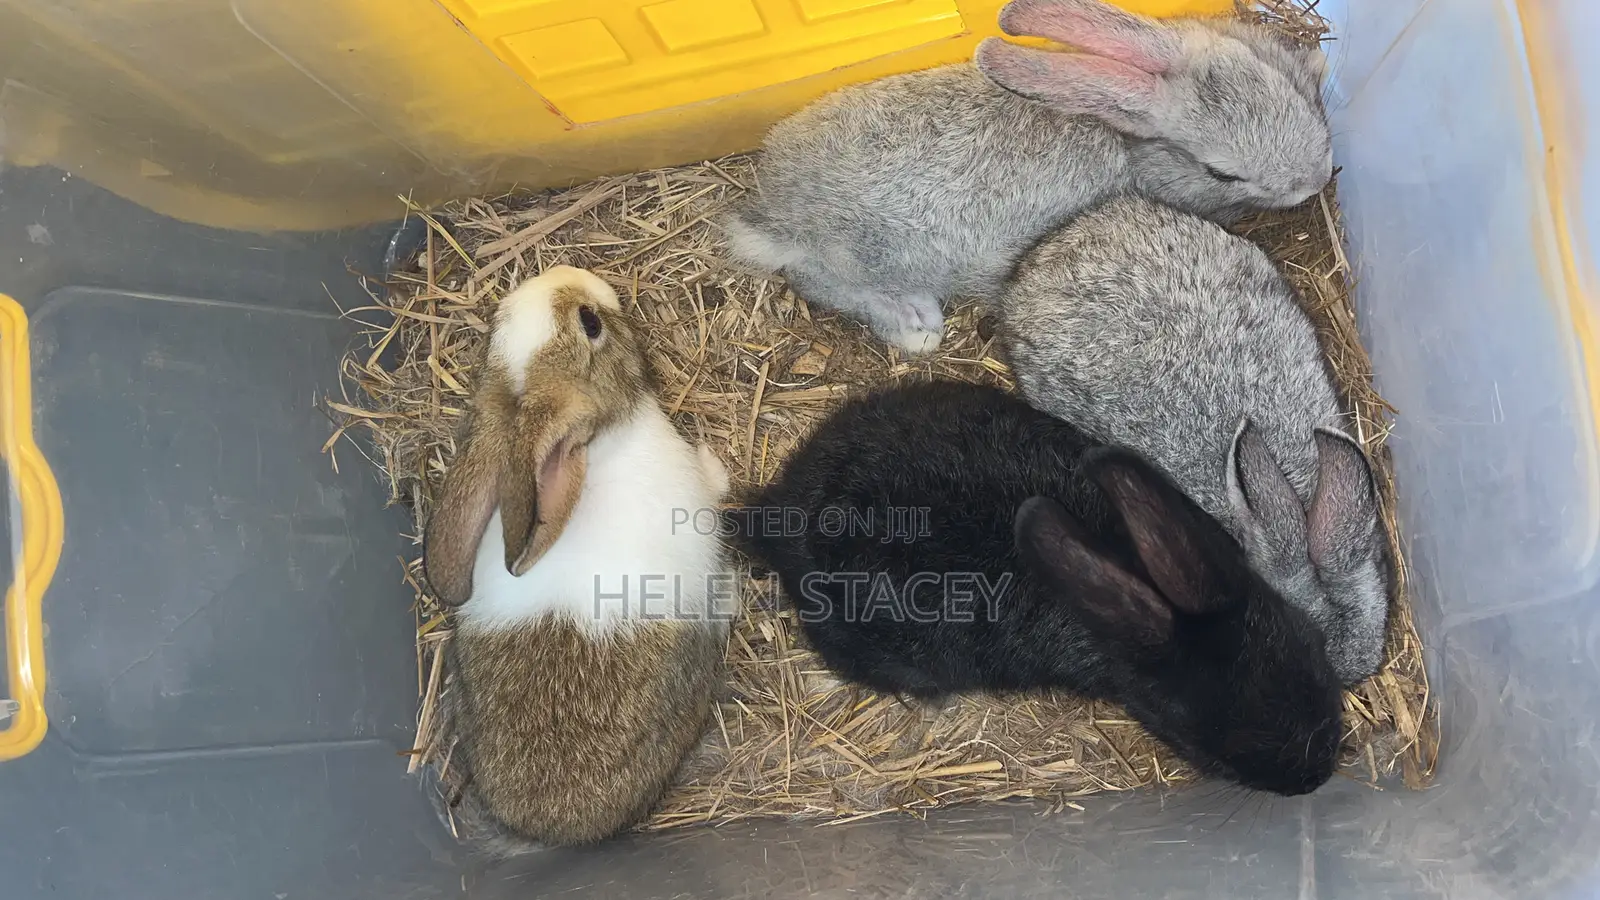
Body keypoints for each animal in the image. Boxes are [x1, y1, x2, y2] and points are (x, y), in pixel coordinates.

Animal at [724, 0, 1332, 355]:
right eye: (1221, 171)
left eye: (1277, 82)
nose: (1318, 178)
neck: (1126, 145)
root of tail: (774, 220)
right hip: (860, 259)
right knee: (827, 284)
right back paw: (916, 325)